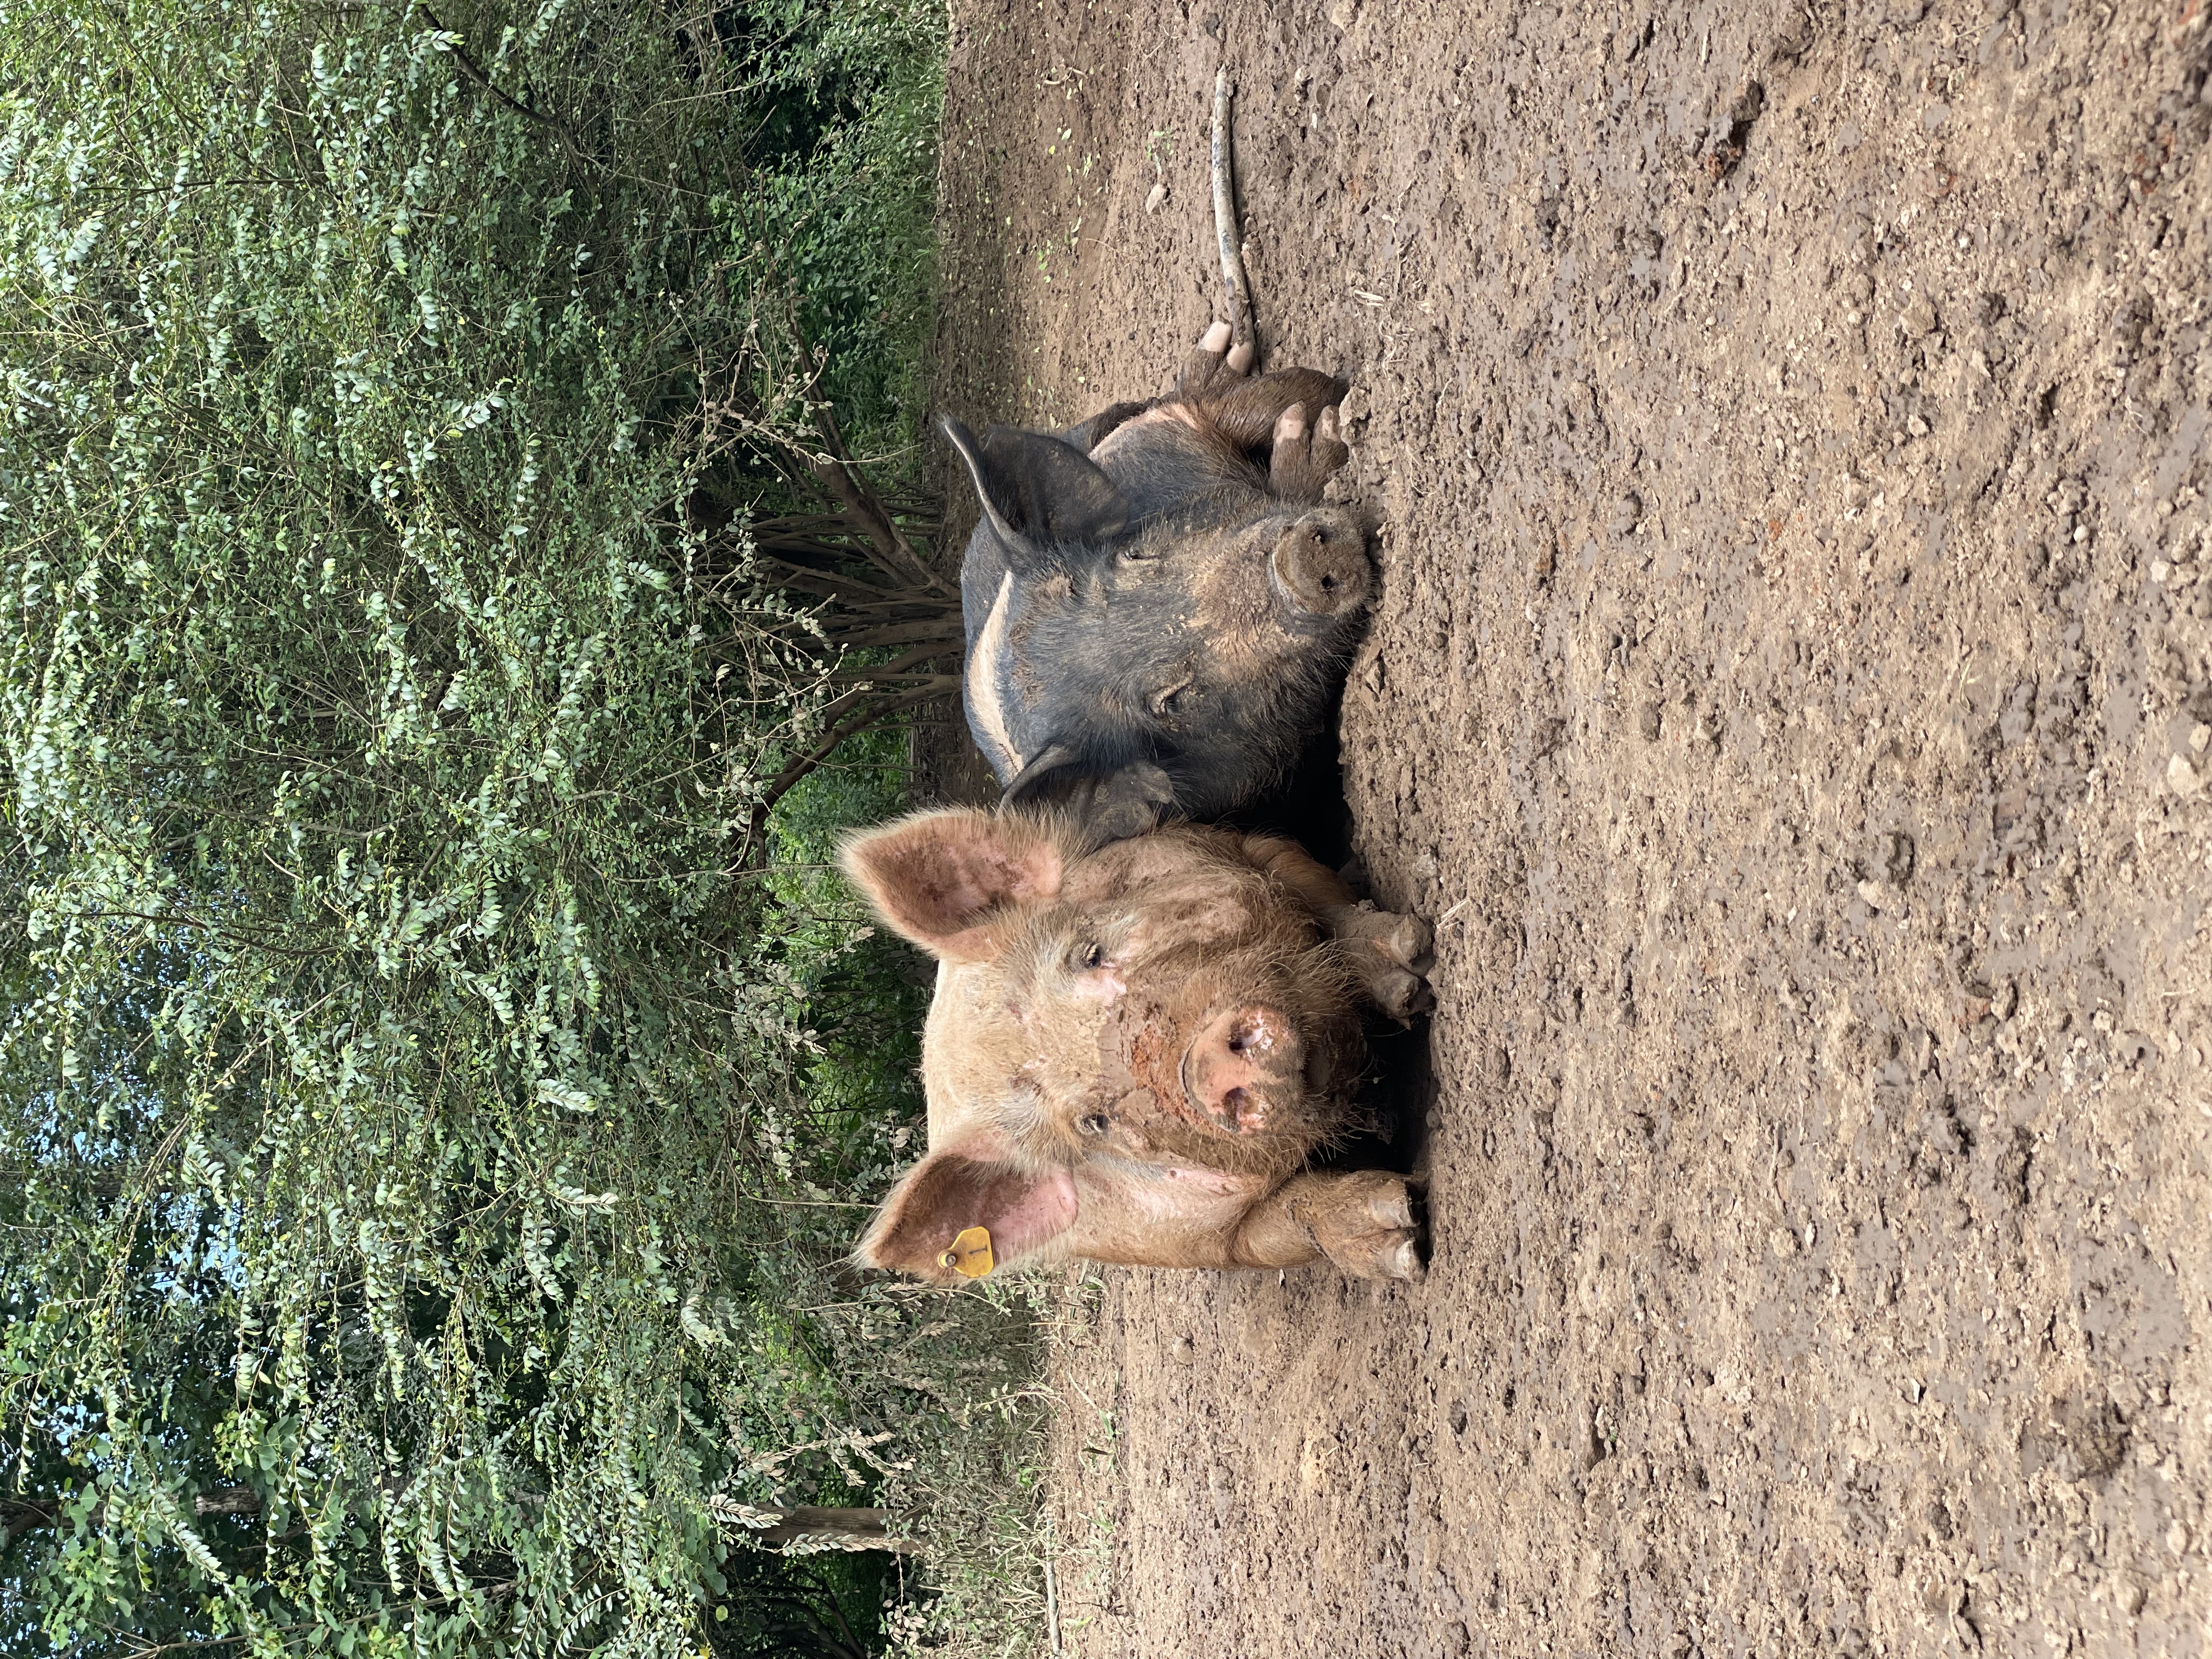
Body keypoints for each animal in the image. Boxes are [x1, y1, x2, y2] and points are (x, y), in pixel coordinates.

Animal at [838, 806, 1432, 1282]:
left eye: (1090, 953)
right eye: (1092, 1123)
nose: (1209, 1068)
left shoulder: (1237, 847)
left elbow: (1329, 908)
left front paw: (1410, 963)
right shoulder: (1201, 1242)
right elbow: (1286, 1222)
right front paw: (1401, 1233)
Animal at [943, 323, 1372, 838]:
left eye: (1135, 554)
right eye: (1170, 700)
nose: (1297, 563)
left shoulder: (1166, 431)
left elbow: (1272, 395)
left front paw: (1322, 413)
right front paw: (1316, 434)